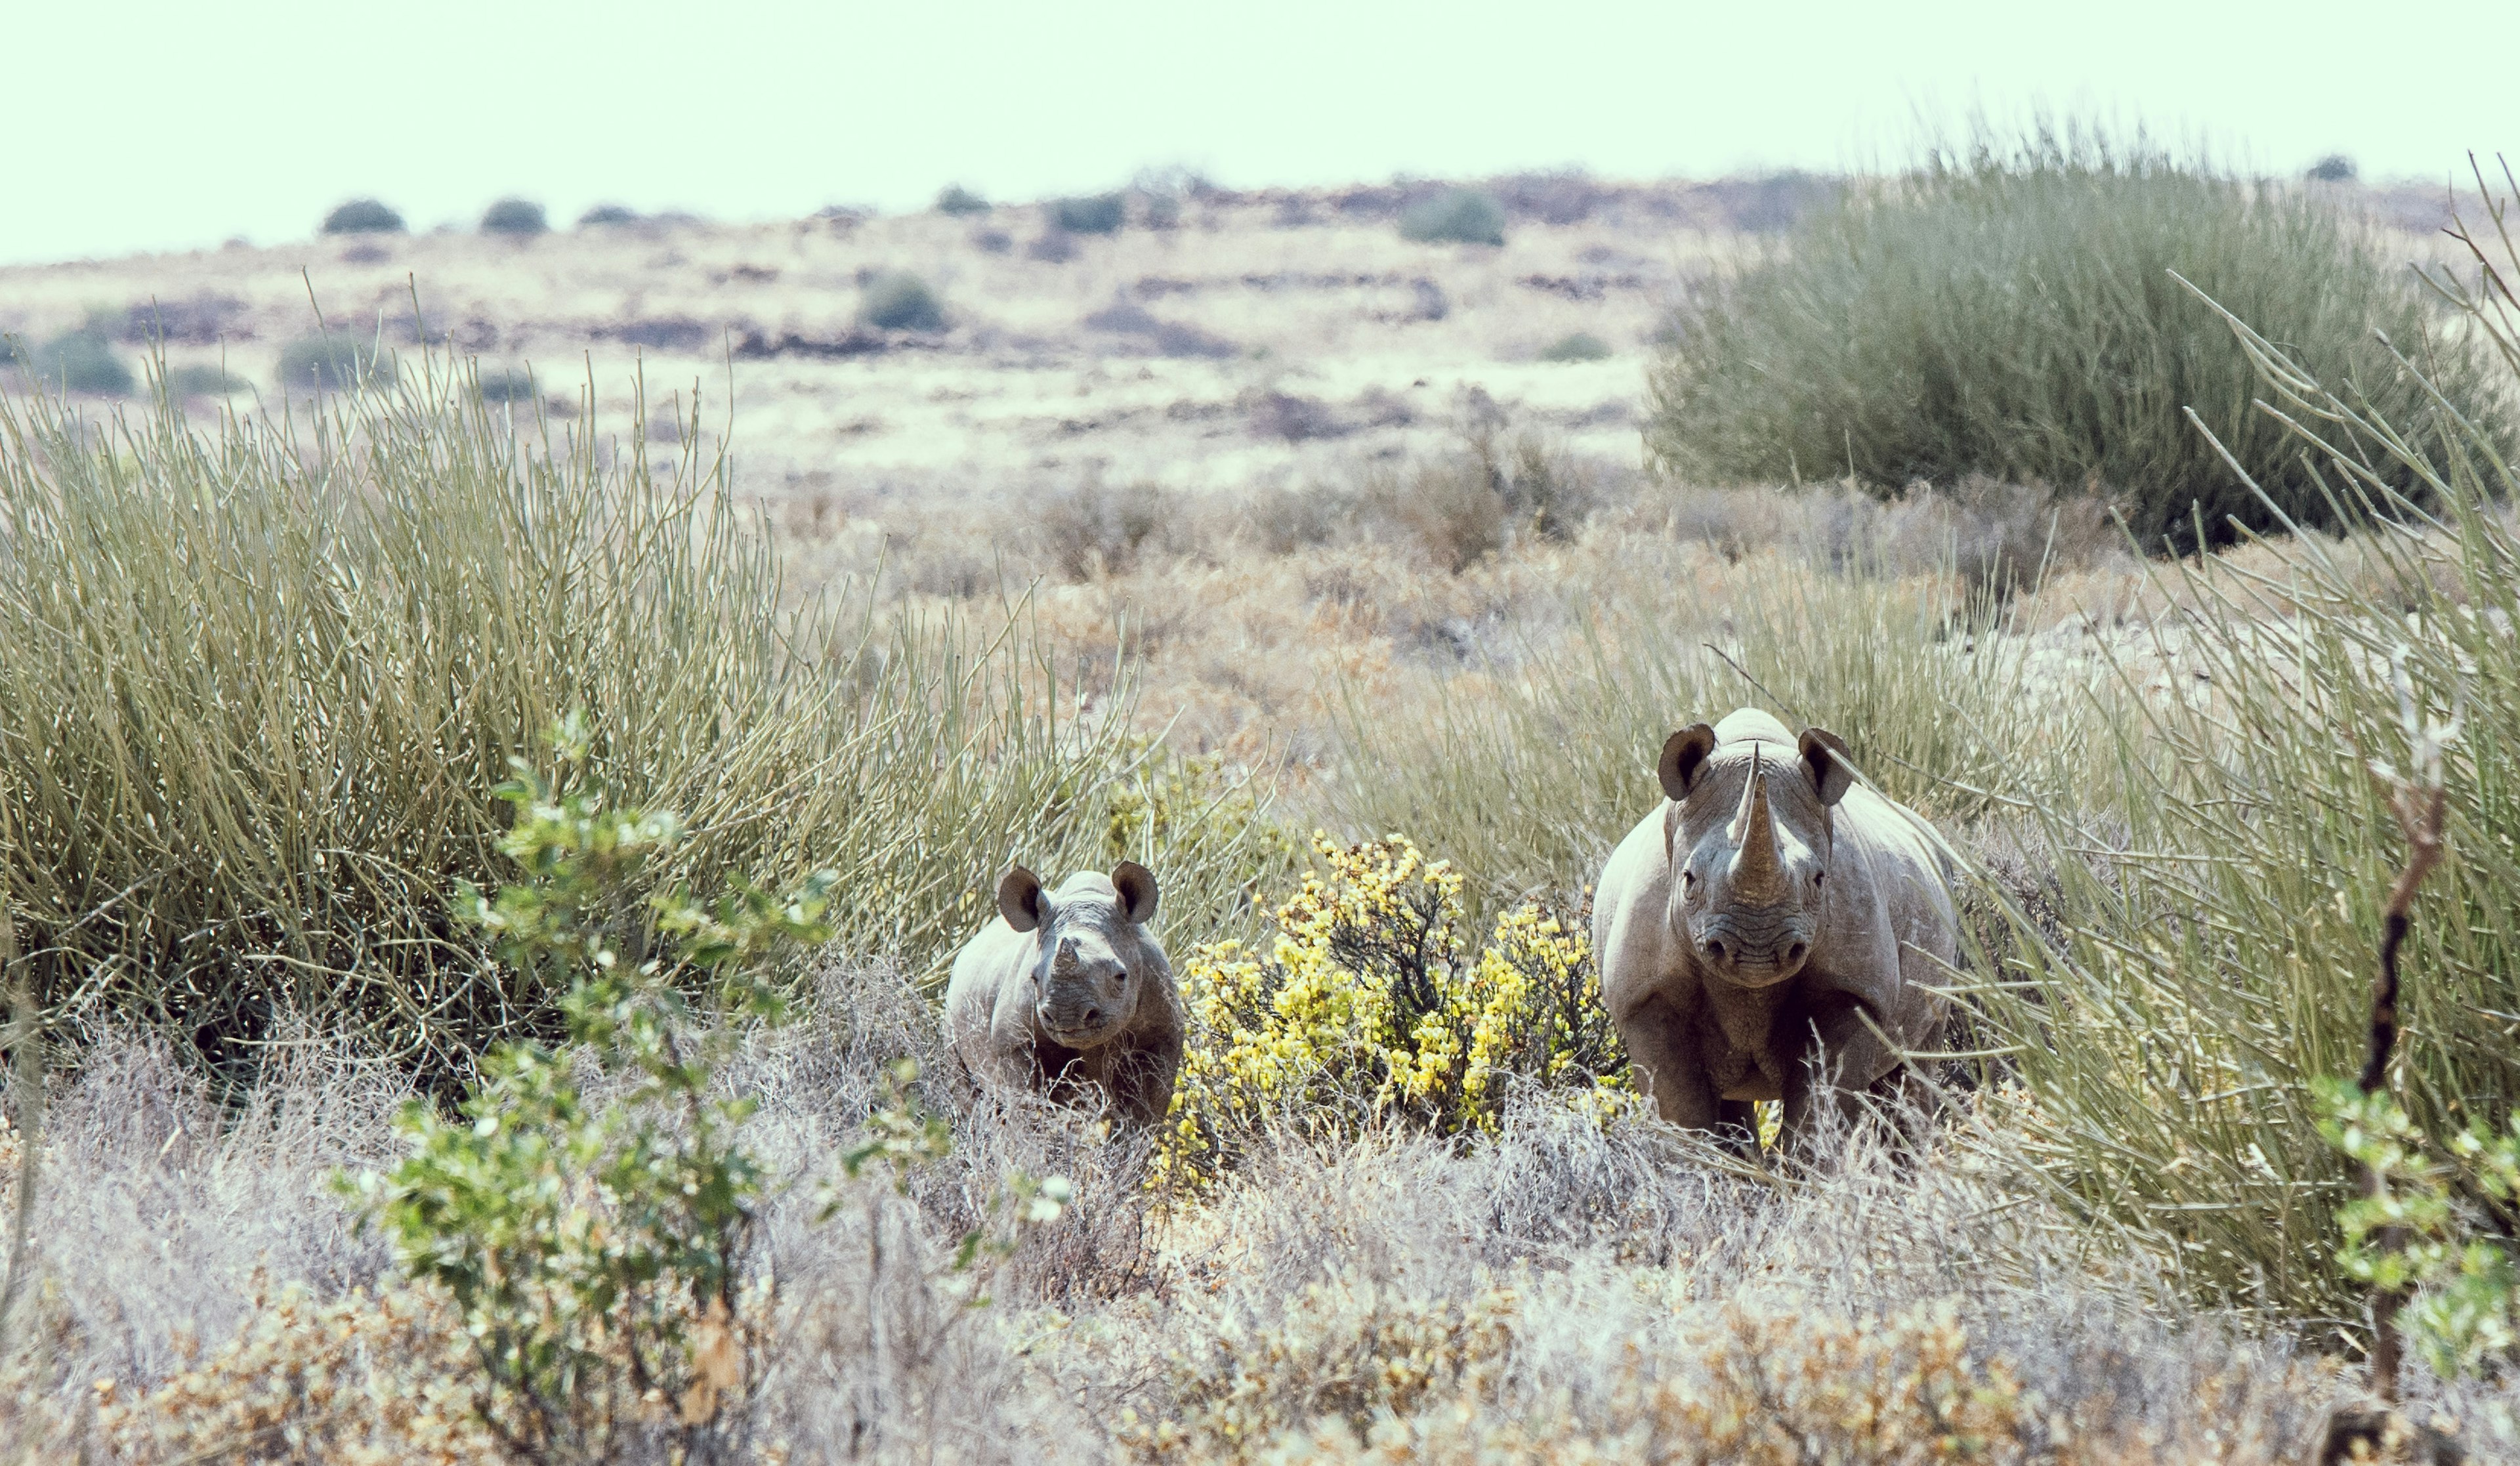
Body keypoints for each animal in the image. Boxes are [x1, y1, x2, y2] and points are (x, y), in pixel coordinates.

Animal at [947, 861, 1179, 1128]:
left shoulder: (1162, 1036)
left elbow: (1143, 1115)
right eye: (1034, 978)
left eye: (1121, 976)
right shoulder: (1014, 1042)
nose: (1068, 1016)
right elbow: (1025, 1108)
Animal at [1592, 710, 1965, 1148]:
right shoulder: (1645, 993)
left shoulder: (1854, 987)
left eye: (1820, 880)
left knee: (1914, 1067)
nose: (1758, 953)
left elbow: (1821, 1113)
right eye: (1688, 880)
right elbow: (1682, 1116)